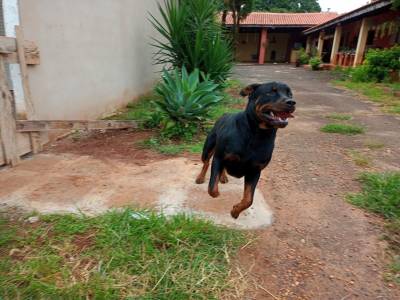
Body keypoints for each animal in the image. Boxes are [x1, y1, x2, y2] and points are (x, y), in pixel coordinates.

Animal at [195, 81, 296, 219]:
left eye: (289, 93)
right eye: (270, 92)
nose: (291, 102)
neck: (256, 134)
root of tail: (224, 114)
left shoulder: (255, 170)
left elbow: (249, 199)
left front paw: (235, 211)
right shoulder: (219, 157)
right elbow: (212, 188)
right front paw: (217, 192)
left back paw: (223, 177)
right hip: (208, 148)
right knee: (205, 163)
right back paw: (200, 178)